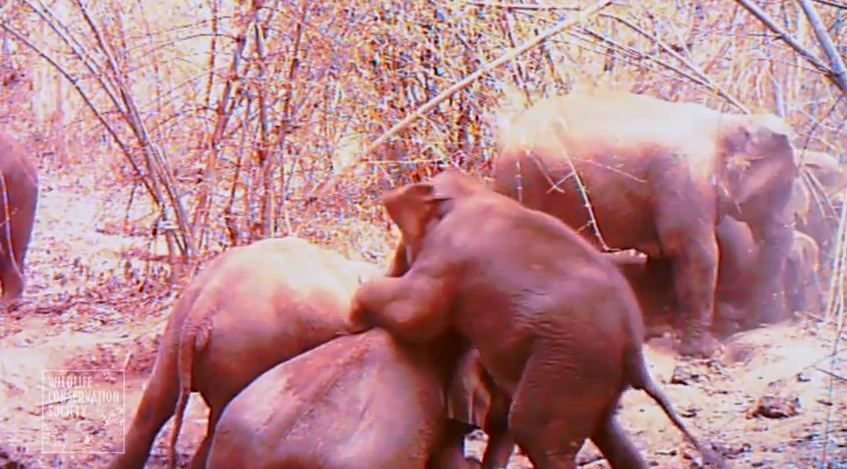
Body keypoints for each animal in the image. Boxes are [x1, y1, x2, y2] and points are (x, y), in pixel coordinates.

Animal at [352, 171, 724, 468]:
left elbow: (416, 314)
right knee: (606, 432)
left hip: (569, 360)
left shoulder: (447, 258)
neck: (469, 193)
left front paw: (356, 315)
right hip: (589, 372)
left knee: (534, 431)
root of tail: (634, 344)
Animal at [494, 89, 800, 356]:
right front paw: (706, 351)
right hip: (524, 180)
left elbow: (663, 253)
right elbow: (696, 253)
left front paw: (657, 329)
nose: (765, 324)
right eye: (787, 186)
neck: (726, 123)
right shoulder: (686, 180)